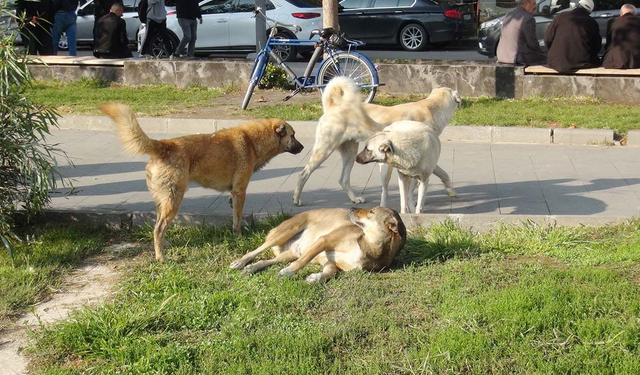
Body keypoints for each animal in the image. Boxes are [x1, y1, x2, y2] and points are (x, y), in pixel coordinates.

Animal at [102, 103, 304, 262]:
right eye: (293, 135)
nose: (302, 148)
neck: (252, 141)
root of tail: (164, 145)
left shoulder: (233, 194)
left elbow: (234, 215)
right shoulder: (240, 191)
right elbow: (238, 219)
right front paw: (238, 236)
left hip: (163, 201)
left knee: (158, 227)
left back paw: (164, 245)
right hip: (173, 201)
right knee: (158, 229)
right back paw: (161, 257)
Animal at [232, 207, 408, 284]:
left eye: (371, 212)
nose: (351, 208)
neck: (368, 245)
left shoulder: (331, 261)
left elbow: (330, 272)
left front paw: (315, 278)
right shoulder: (324, 241)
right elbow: (301, 263)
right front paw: (288, 272)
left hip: (290, 253)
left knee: (266, 261)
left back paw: (251, 268)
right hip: (284, 232)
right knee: (256, 251)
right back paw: (240, 262)